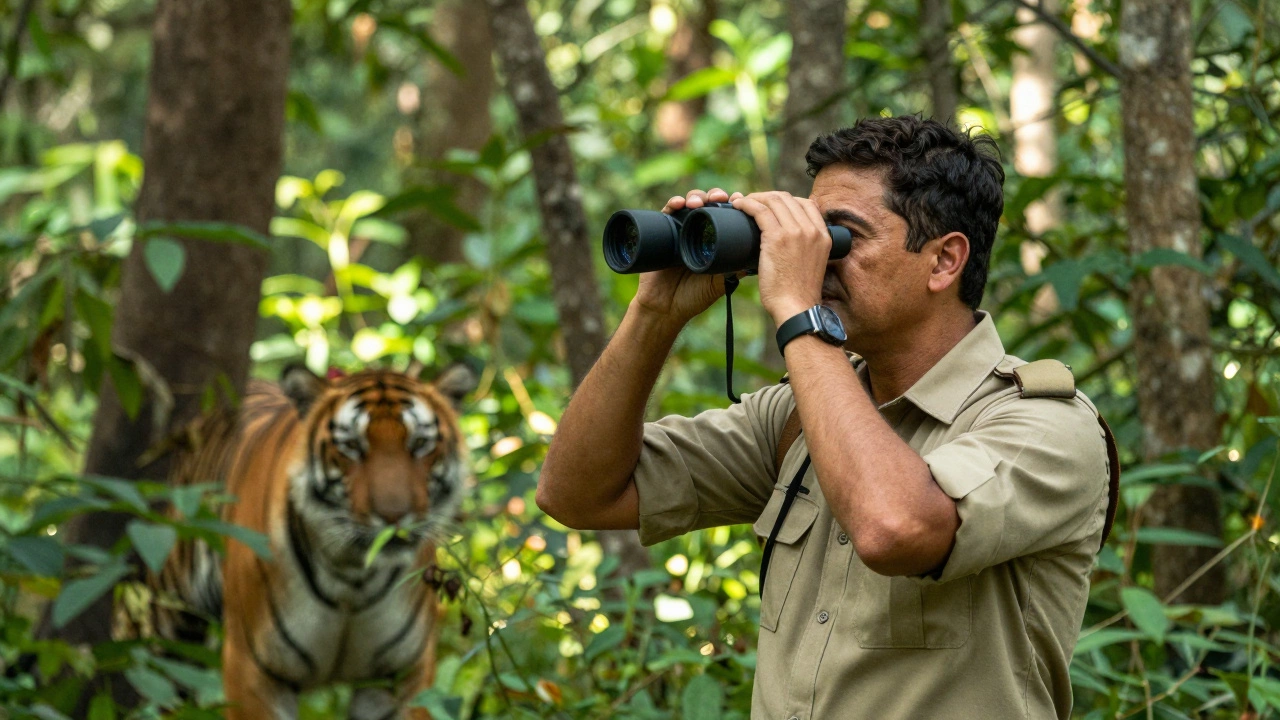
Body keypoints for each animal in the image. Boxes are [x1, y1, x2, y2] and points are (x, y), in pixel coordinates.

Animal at [141, 363, 473, 720]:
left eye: (421, 443)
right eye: (351, 446)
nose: (394, 516)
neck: (354, 577)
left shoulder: (403, 674)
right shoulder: (253, 668)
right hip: (167, 626)